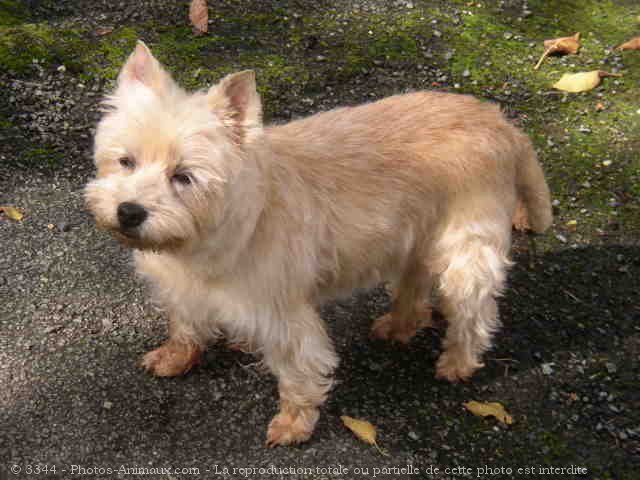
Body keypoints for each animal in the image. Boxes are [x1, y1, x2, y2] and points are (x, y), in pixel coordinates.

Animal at [87, 41, 552, 446]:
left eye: (183, 176)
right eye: (125, 160)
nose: (129, 211)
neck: (207, 235)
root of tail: (503, 124)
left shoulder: (282, 313)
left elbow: (298, 370)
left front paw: (293, 423)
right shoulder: (183, 287)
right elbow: (184, 324)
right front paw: (174, 356)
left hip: (465, 249)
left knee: (474, 311)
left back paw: (457, 363)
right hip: (416, 235)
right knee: (415, 285)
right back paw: (400, 325)